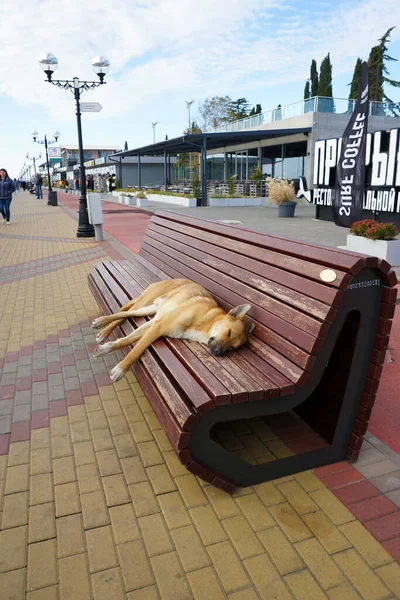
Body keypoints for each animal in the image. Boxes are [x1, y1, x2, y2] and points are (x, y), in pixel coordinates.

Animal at [91, 278, 253, 382]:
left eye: (232, 348)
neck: (206, 320)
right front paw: (121, 369)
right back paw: (103, 326)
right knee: (124, 311)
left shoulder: (155, 324)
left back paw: (103, 324)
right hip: (146, 302)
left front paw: (107, 348)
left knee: (124, 313)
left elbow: (127, 340)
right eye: (229, 333)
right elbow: (137, 350)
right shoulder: (159, 326)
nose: (219, 353)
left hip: (151, 309)